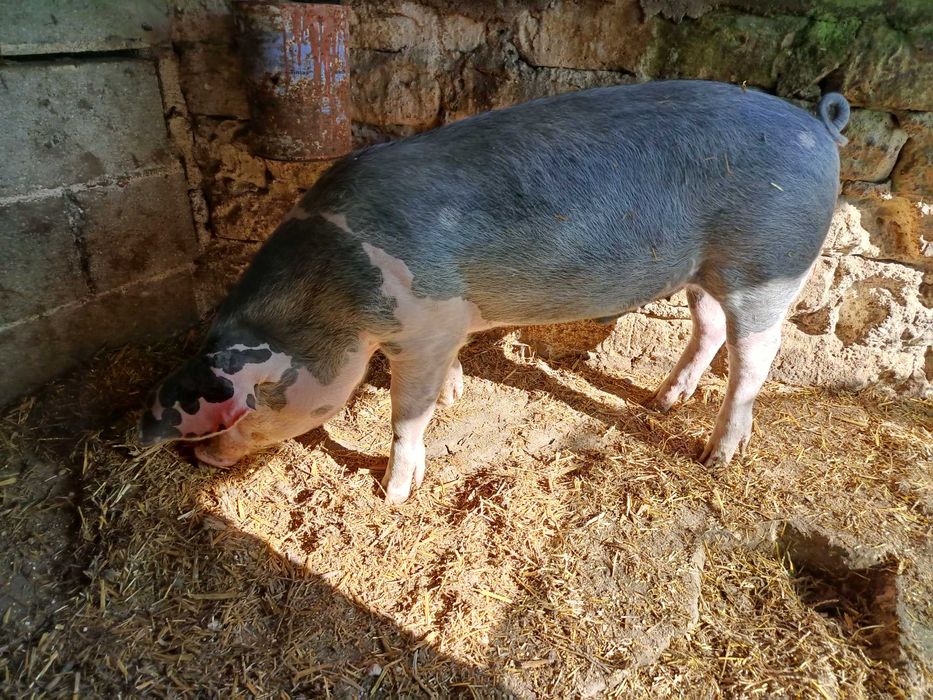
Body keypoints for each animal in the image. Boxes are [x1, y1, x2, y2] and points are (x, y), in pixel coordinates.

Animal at [139, 80, 850, 504]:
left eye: (242, 410)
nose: (197, 458)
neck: (334, 288)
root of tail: (819, 126)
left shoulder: (422, 328)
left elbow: (406, 415)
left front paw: (394, 495)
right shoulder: (444, 328)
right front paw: (455, 393)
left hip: (768, 262)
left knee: (754, 358)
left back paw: (715, 457)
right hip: (704, 270)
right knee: (708, 330)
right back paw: (661, 401)